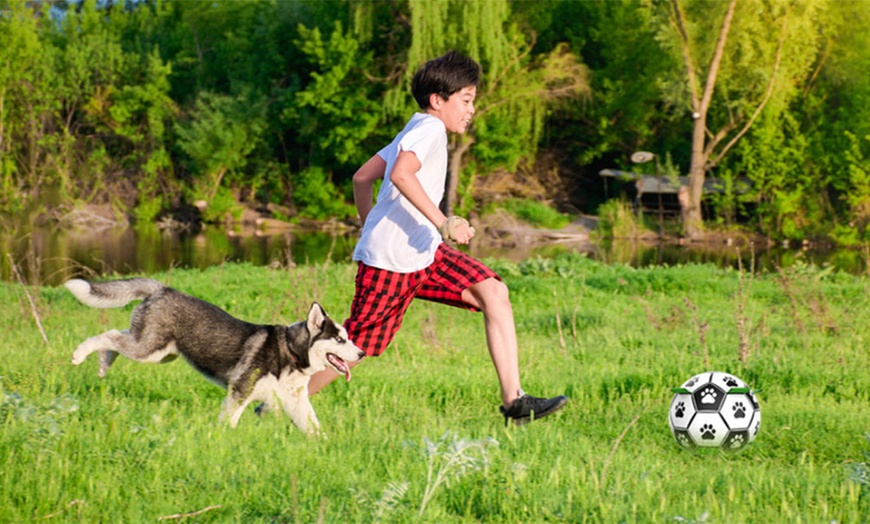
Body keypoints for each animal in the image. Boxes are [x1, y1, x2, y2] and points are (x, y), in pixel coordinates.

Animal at [65, 278, 364, 434]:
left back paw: (103, 364)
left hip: (159, 352)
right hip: (148, 349)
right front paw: (225, 439)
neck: (290, 352)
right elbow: (229, 422)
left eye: (348, 337)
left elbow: (314, 428)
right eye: (340, 339)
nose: (361, 353)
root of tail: (162, 288)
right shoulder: (240, 391)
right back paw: (80, 354)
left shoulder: (296, 402)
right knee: (109, 336)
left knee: (116, 337)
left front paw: (326, 448)